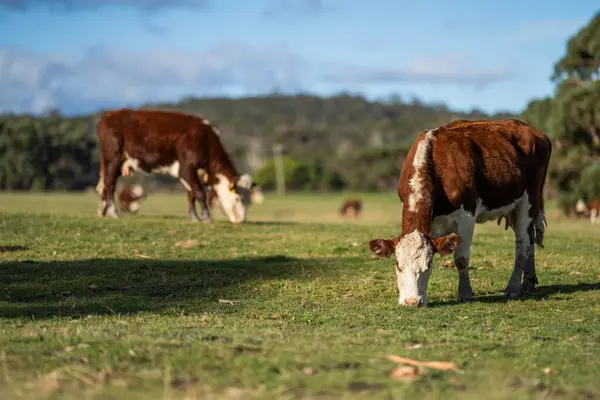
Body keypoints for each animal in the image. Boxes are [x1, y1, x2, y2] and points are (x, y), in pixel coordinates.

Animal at [95, 108, 258, 223]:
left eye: (249, 201)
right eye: (238, 198)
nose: (241, 221)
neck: (204, 139)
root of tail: (110, 114)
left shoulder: (195, 172)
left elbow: (191, 194)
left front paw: (194, 218)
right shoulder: (186, 167)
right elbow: (199, 192)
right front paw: (206, 218)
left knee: (106, 186)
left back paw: (102, 211)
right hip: (112, 158)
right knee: (109, 184)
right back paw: (113, 212)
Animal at [368, 119, 552, 306]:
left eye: (429, 264)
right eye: (398, 264)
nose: (413, 301)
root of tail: (532, 130)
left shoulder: (466, 215)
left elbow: (461, 258)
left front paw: (465, 293)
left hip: (529, 199)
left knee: (522, 243)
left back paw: (513, 286)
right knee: (529, 239)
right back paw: (528, 281)